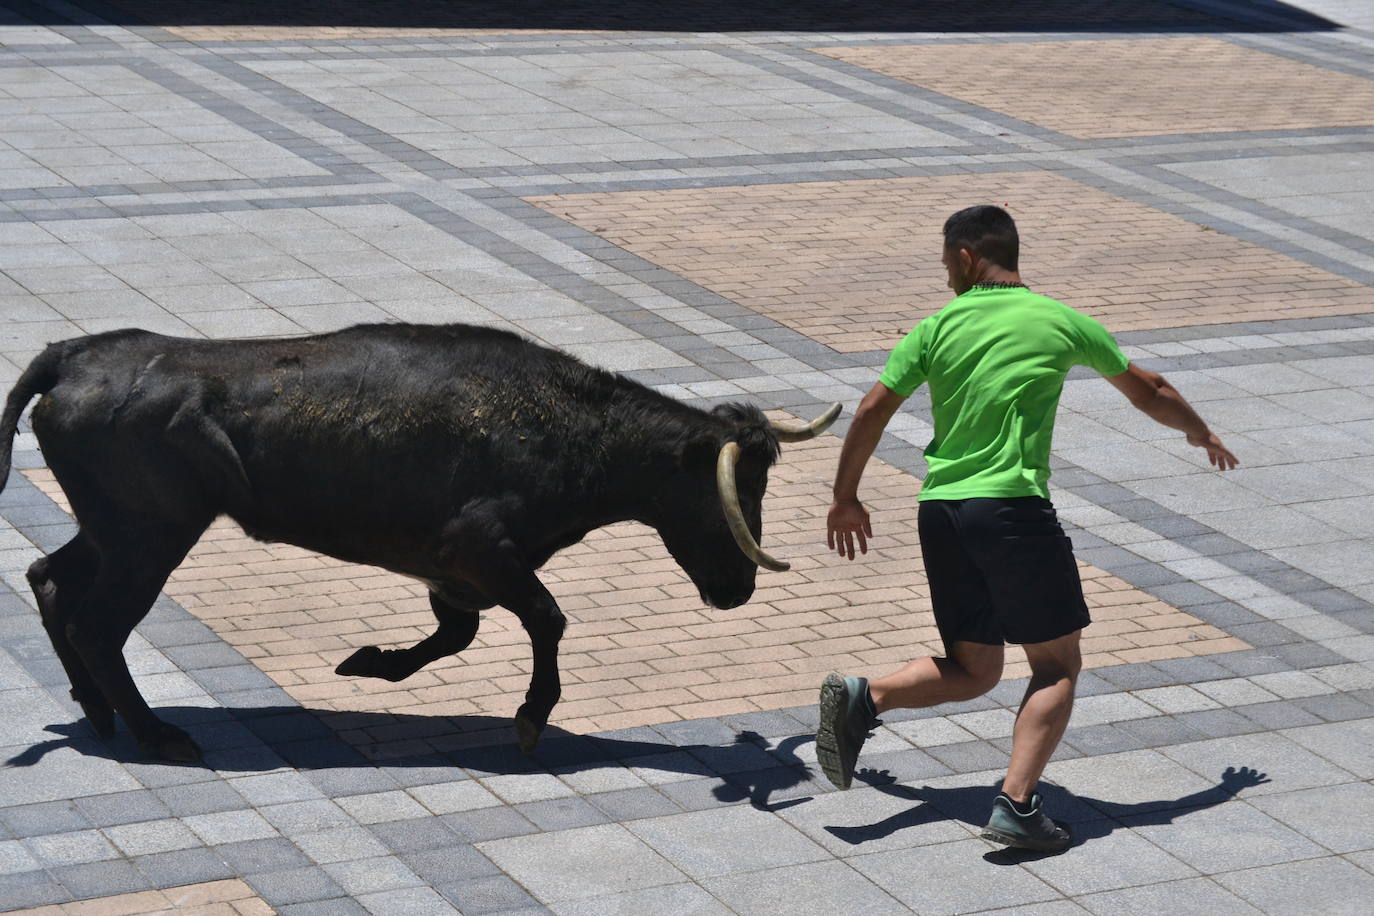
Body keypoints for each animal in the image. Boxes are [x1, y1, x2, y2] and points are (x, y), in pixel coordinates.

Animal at [0, 325, 840, 763]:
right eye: (734, 492)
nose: (738, 588)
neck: (571, 429)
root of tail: (72, 353)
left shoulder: (454, 572)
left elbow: (454, 635)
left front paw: (369, 663)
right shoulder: (478, 548)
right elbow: (547, 618)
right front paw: (532, 714)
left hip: (117, 528)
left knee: (50, 579)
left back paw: (97, 713)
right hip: (150, 535)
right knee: (97, 622)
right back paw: (153, 732)